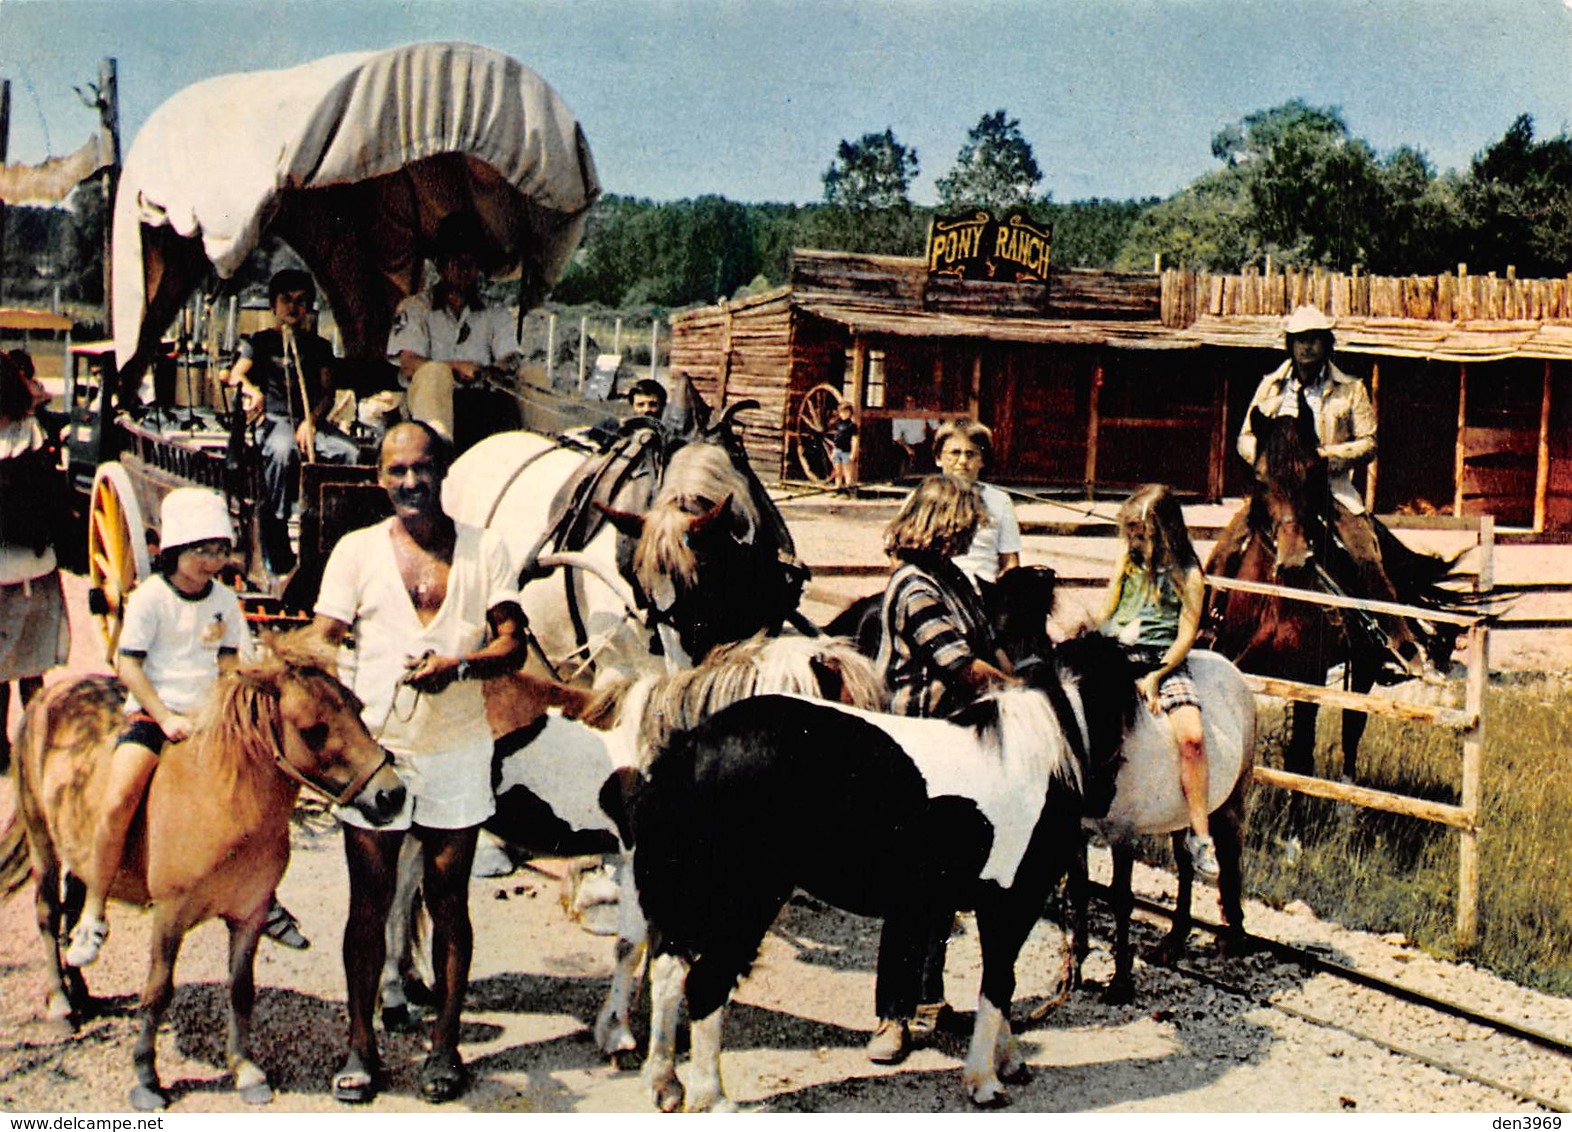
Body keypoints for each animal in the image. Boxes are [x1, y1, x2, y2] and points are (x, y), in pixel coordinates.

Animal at [1, 632, 405, 1106]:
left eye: (358, 709)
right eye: (313, 729)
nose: (392, 795)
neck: (220, 800)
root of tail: (49, 695)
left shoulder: (249, 915)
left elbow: (241, 990)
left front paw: (245, 1070)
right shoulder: (169, 916)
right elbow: (157, 992)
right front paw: (146, 1078)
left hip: (78, 853)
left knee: (74, 909)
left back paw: (81, 986)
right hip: (42, 841)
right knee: (48, 915)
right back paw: (62, 1003)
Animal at [370, 632, 886, 1056]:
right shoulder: (638, 863)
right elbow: (630, 946)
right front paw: (617, 1034)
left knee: (403, 900)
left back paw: (411, 989)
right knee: (393, 904)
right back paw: (394, 1003)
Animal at [619, 628, 1257, 1113]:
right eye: (1132, 703)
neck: (1042, 749)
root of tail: (690, 747)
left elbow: (1003, 984)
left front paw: (1011, 1062)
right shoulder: (1010, 901)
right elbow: (997, 984)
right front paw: (985, 1081)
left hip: (690, 898)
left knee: (669, 975)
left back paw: (664, 1085)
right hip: (744, 901)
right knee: (705, 985)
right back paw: (711, 1099)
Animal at [1201, 402, 1471, 782]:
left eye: (1314, 472)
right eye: (1259, 477)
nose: (1294, 557)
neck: (1273, 602)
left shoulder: (1307, 678)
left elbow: (1301, 755)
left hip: (1365, 665)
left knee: (1352, 727)